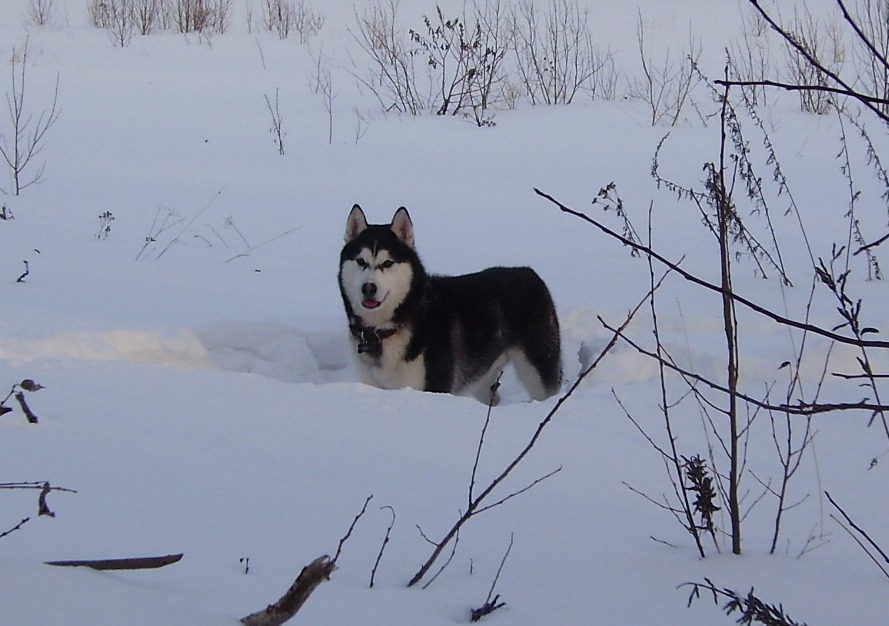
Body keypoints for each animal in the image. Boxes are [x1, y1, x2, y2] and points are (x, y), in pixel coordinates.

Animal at [338, 204, 562, 404]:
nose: (368, 288)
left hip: (540, 369)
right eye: (361, 261)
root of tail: (529, 272)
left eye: (387, 263)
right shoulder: (372, 384)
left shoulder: (432, 386)